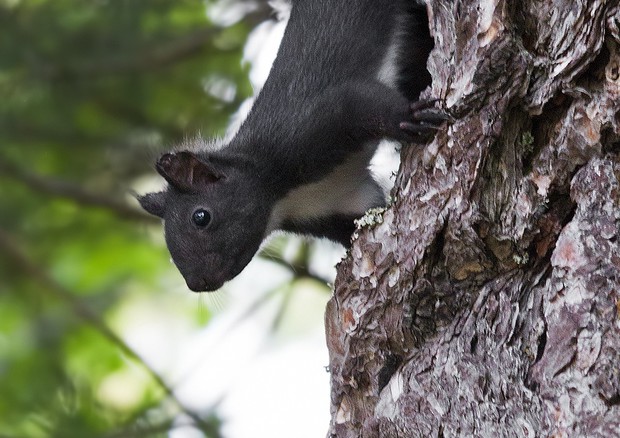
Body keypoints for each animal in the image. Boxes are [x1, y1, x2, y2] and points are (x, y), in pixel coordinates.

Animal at [138, 2, 448, 294]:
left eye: (200, 217)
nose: (197, 284)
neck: (283, 196)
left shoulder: (310, 126)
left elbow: (361, 103)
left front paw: (409, 118)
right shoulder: (338, 204)